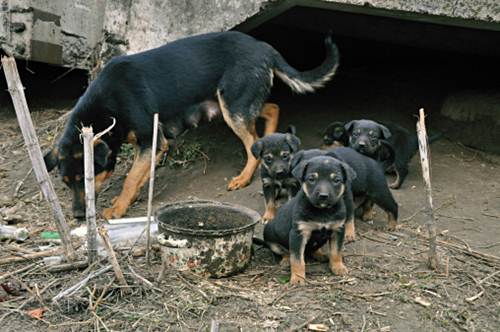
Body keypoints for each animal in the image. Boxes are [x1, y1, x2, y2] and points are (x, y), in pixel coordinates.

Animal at [44, 30, 340, 218]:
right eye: (66, 183)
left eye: (84, 179)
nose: (78, 216)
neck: (107, 105)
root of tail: (262, 46)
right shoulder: (153, 143)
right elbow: (140, 175)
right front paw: (130, 198)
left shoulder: (150, 139)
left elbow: (130, 178)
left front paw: (118, 208)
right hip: (232, 103)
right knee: (271, 109)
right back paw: (270, 140)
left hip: (233, 107)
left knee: (252, 143)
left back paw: (244, 177)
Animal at [262, 156, 356, 286]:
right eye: (311, 179)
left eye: (336, 180)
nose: (323, 196)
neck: (322, 211)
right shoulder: (298, 233)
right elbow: (297, 259)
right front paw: (297, 278)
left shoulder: (338, 230)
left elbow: (336, 252)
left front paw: (338, 267)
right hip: (270, 238)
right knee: (285, 252)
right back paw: (286, 259)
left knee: (313, 249)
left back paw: (320, 254)